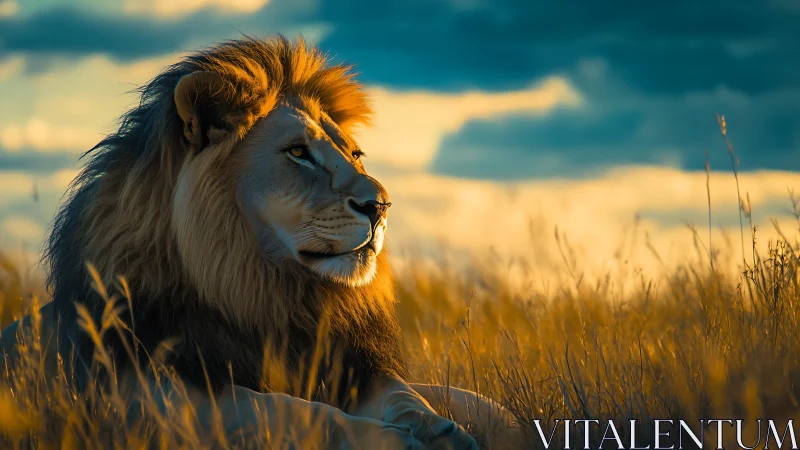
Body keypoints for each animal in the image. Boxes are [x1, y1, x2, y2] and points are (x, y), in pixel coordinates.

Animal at [1, 36, 522, 449]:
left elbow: (406, 395)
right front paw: (397, 441)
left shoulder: (352, 364)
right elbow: (289, 410)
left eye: (354, 154)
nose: (381, 206)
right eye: (298, 152)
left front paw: (439, 430)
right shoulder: (153, 394)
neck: (265, 291)